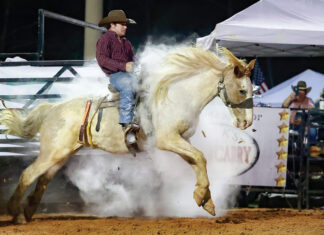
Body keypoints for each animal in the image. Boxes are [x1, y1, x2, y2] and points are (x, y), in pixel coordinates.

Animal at [0, 46, 256, 224]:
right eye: (242, 90)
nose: (247, 122)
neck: (176, 96)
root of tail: (52, 109)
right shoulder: (168, 140)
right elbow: (200, 158)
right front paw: (203, 196)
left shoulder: (182, 140)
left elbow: (197, 161)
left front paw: (206, 200)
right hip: (52, 152)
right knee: (28, 174)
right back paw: (14, 212)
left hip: (61, 154)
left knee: (43, 179)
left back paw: (26, 212)